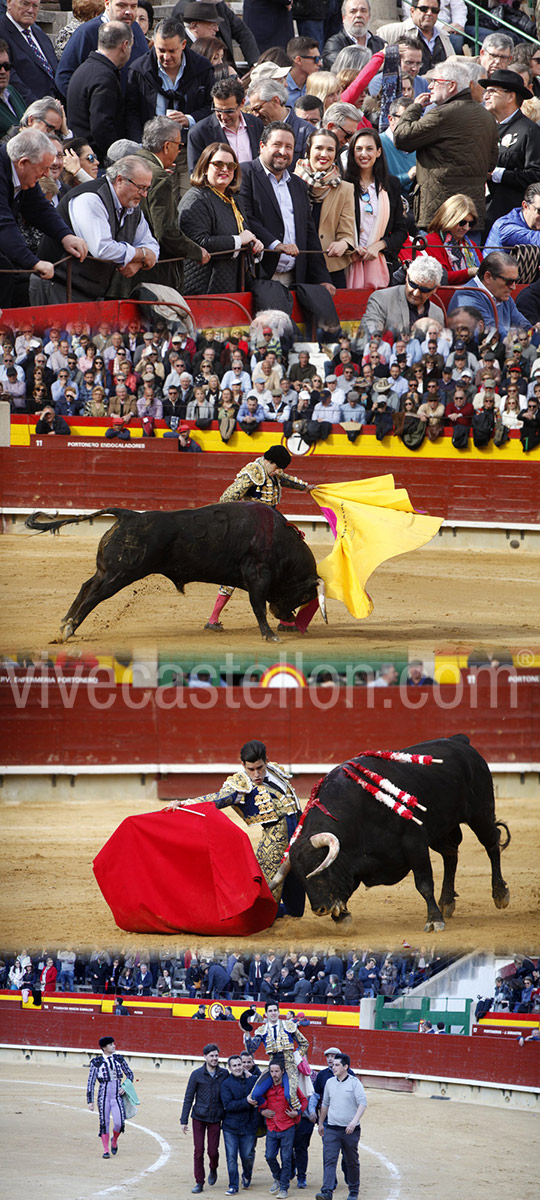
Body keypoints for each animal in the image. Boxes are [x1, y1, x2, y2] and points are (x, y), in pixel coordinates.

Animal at [26, 501, 321, 643]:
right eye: (303, 595)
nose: (289, 617)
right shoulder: (257, 575)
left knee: (86, 586)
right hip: (120, 575)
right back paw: (68, 629)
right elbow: (258, 606)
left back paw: (65, 623)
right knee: (94, 596)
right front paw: (271, 635)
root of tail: (129, 515)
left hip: (107, 570)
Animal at [274, 729, 511, 936]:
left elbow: (424, 884)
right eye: (299, 877)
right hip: (441, 829)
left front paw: (434, 920)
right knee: (451, 854)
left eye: (320, 868)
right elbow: (347, 890)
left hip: (481, 812)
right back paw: (447, 901)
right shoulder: (358, 861)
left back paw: (500, 894)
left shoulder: (414, 844)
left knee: (491, 843)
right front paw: (342, 918)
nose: (320, 909)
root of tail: (460, 741)